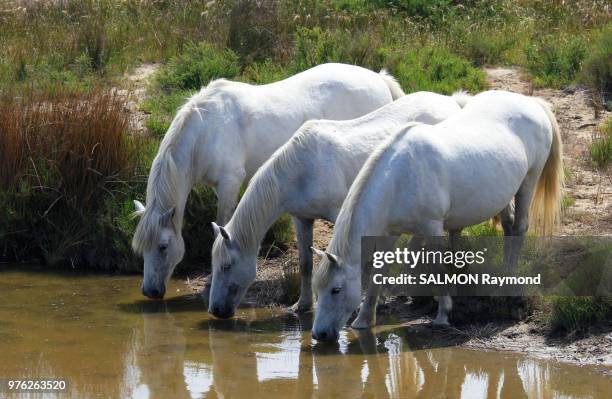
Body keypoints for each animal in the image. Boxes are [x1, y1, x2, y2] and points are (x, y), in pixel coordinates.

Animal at [131, 64, 404, 298]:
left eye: (163, 246)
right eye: (142, 248)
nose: (149, 291)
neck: (207, 129)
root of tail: (378, 78)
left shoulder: (229, 184)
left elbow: (221, 225)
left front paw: (210, 280)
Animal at [208, 90, 470, 318]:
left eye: (226, 266)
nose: (216, 310)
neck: (302, 169)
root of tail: (451, 101)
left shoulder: (342, 215)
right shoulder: (302, 218)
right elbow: (305, 263)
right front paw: (302, 305)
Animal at [314, 90, 560, 340]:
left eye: (336, 290)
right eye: (317, 288)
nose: (319, 334)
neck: (399, 179)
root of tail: (530, 102)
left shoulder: (432, 227)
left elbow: (438, 265)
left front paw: (443, 314)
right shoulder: (390, 232)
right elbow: (378, 271)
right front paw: (364, 319)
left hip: (528, 182)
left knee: (519, 228)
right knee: (509, 227)